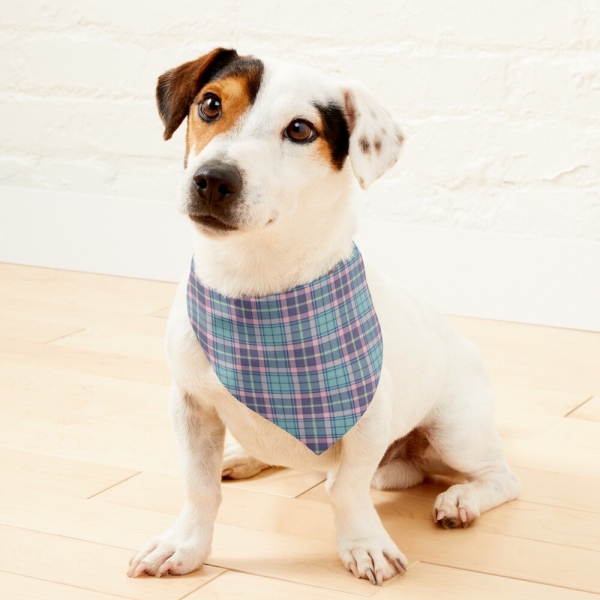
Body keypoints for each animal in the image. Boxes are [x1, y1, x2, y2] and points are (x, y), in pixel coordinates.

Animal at [127, 48, 520, 584]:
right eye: (210, 104)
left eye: (299, 130)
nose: (212, 179)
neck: (256, 286)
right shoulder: (190, 405)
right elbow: (199, 486)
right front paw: (185, 545)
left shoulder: (368, 419)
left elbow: (347, 490)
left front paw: (365, 544)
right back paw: (244, 456)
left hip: (456, 432)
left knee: (500, 477)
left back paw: (461, 499)